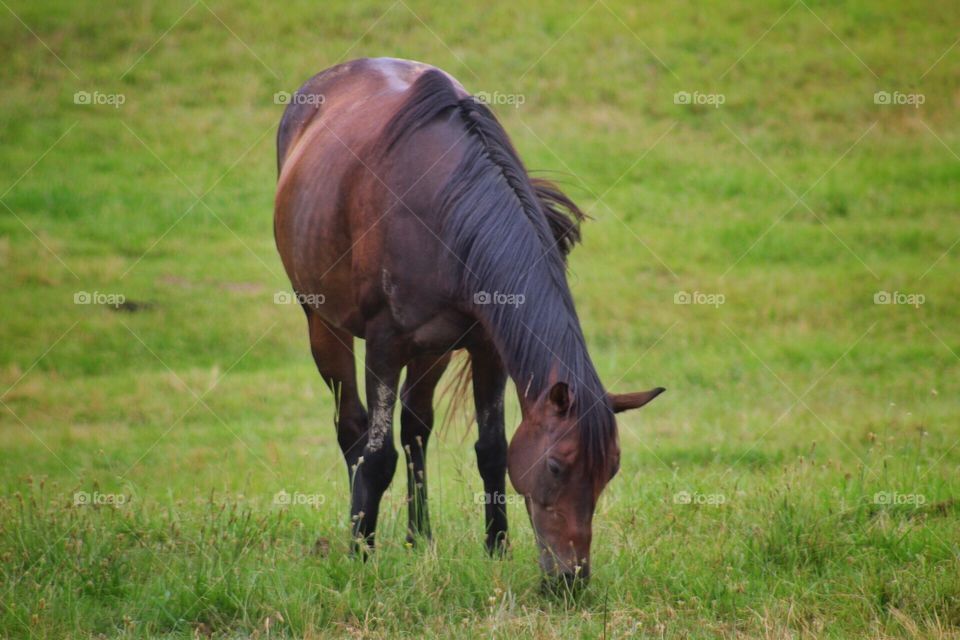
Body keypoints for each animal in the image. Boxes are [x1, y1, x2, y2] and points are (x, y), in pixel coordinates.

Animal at [274, 57, 664, 587]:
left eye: (611, 470)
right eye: (557, 467)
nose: (571, 579)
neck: (446, 209)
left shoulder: (486, 347)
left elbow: (493, 450)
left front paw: (496, 549)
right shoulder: (384, 345)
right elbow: (377, 457)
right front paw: (361, 557)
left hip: (432, 349)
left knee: (416, 427)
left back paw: (419, 539)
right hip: (324, 324)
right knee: (352, 430)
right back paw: (361, 536)